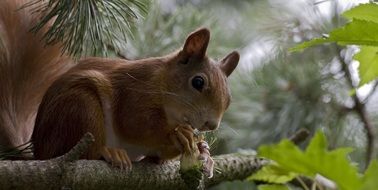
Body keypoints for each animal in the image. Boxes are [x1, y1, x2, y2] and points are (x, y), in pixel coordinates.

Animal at [0, 0, 239, 168]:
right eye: (198, 82)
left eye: (229, 99)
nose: (211, 125)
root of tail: (40, 154)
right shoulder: (134, 94)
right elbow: (135, 123)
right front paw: (178, 135)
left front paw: (203, 149)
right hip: (80, 107)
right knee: (84, 151)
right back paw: (108, 152)